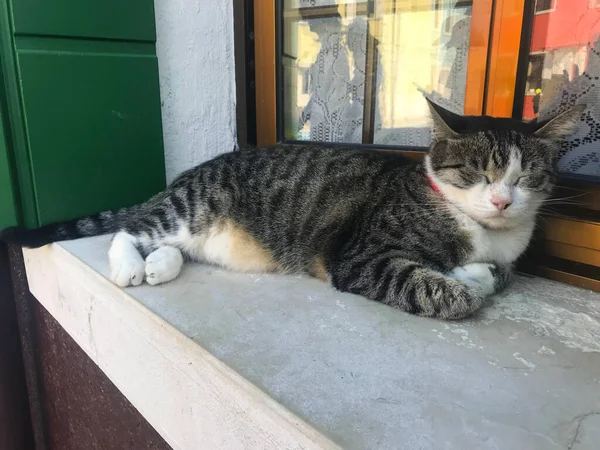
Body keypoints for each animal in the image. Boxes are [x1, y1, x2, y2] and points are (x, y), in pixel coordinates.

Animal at [0, 102, 580, 320]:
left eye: (525, 177)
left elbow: (499, 274)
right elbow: (443, 288)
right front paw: (462, 285)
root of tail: (184, 177)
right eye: (479, 173)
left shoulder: (507, 256)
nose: (502, 199)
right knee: (130, 229)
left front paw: (476, 272)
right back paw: (129, 266)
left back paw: (159, 266)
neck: (486, 232)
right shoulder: (361, 257)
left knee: (168, 245)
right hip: (191, 207)